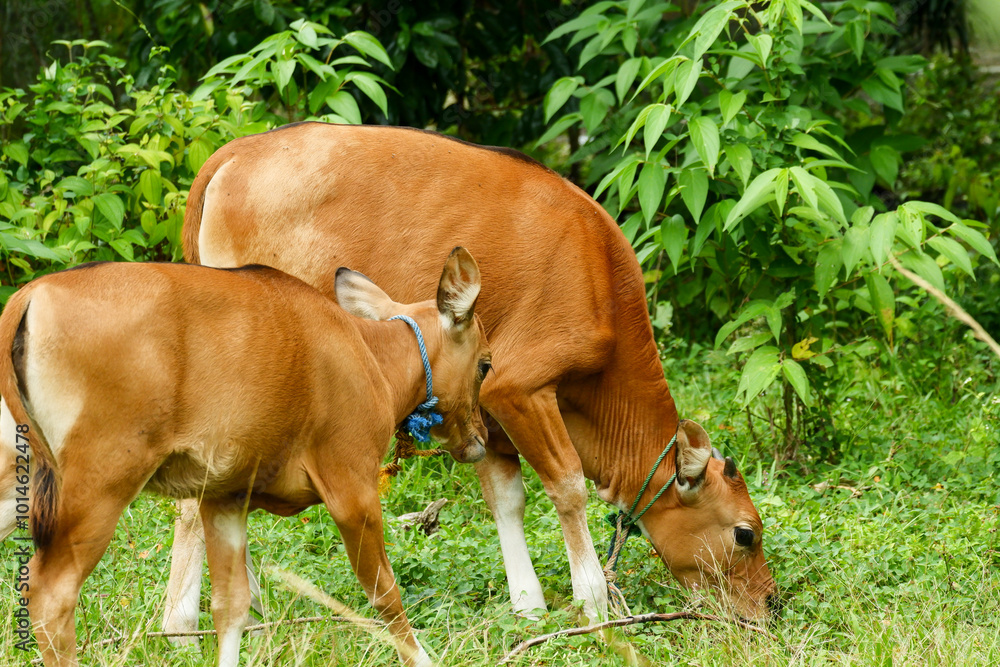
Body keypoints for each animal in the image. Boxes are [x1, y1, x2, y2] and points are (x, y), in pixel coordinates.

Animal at [0, 249, 489, 667]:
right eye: (485, 364)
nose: (480, 438)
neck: (369, 355)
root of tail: (31, 295)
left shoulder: (224, 496)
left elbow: (230, 608)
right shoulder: (353, 488)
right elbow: (384, 593)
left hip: (20, 475)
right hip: (101, 481)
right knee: (52, 595)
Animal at [166, 122, 777, 630]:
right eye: (745, 534)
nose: (769, 603)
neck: (598, 276)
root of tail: (235, 151)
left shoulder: (486, 407)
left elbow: (506, 498)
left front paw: (527, 603)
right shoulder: (518, 385)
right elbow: (568, 486)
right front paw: (593, 598)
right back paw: (185, 623)